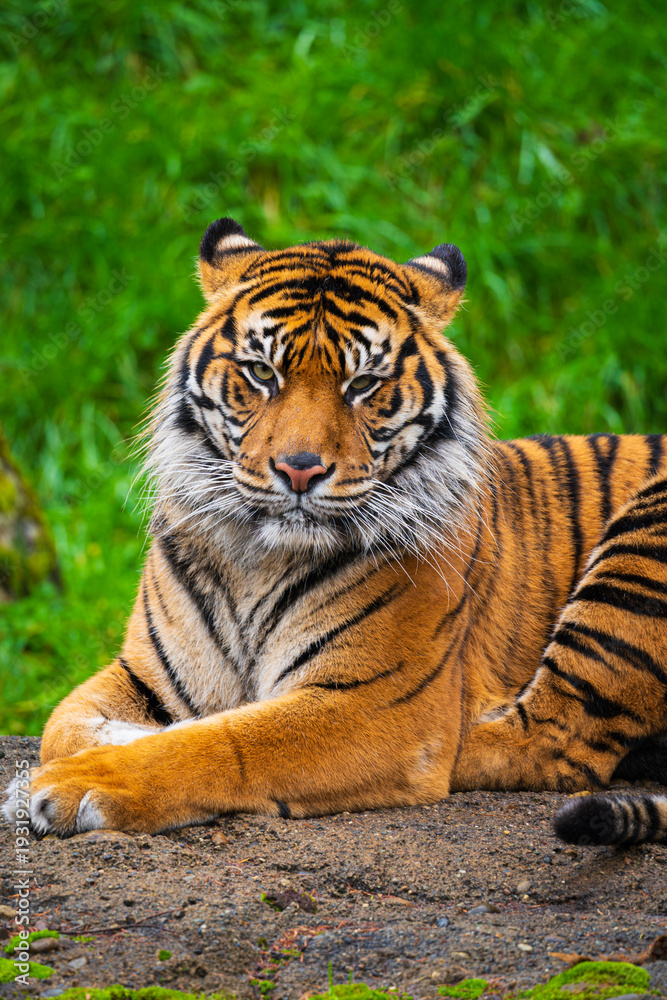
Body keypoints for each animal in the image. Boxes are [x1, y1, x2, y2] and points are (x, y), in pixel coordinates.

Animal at [4, 217, 667, 846]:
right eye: (262, 373)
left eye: (363, 384)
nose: (300, 468)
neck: (256, 557)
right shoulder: (146, 672)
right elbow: (61, 722)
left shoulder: (377, 705)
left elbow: (225, 740)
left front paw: (74, 782)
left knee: (554, 741)